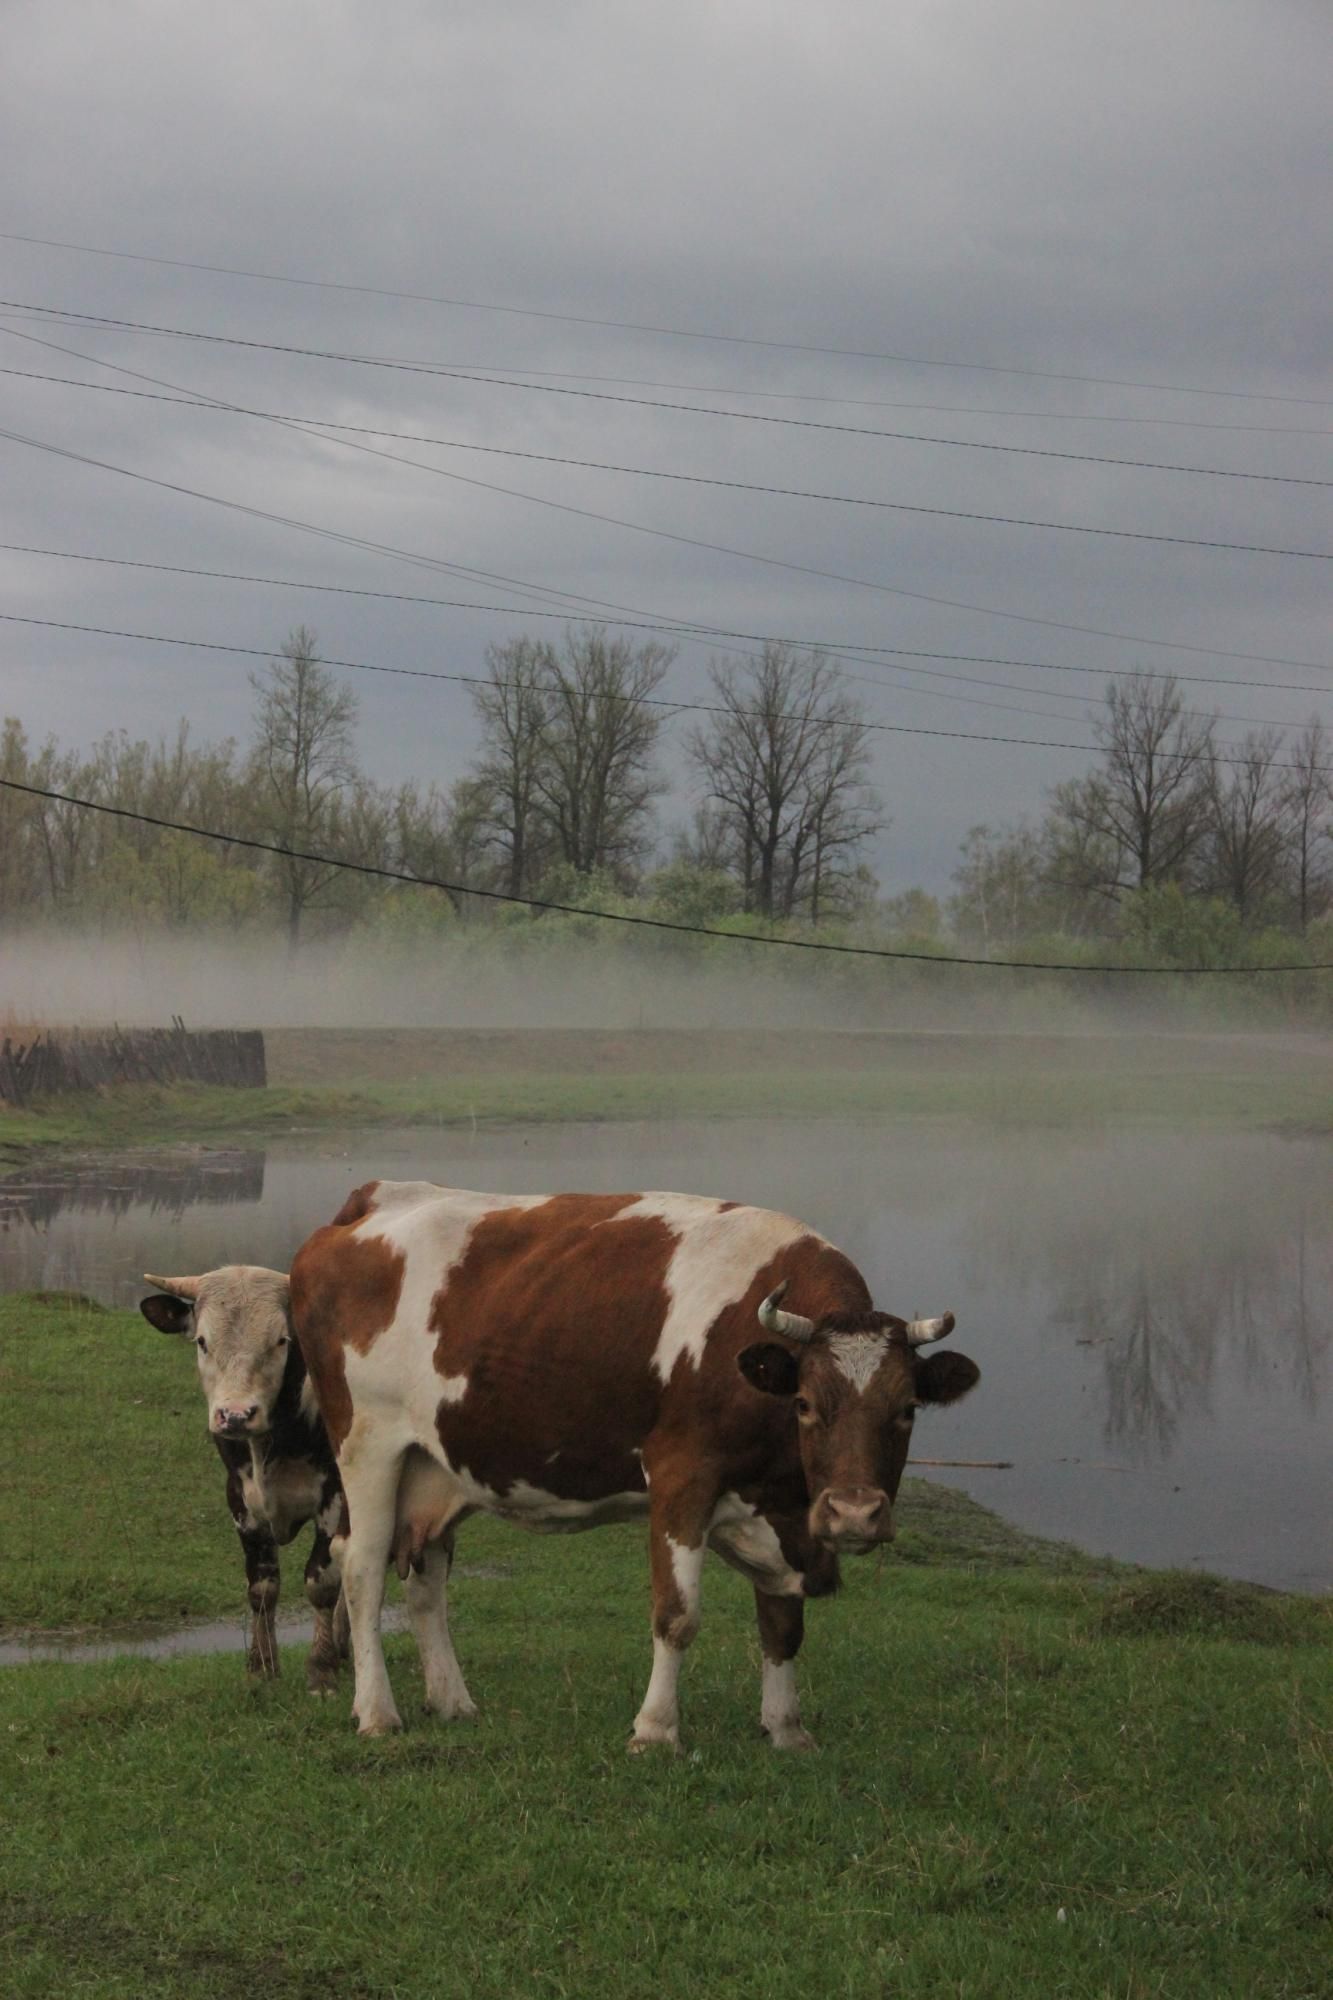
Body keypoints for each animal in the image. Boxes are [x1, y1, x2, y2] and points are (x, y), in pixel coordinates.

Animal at [139, 1264, 344, 1688]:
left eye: (282, 1340)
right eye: (202, 1340)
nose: (235, 1415)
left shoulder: (335, 1498)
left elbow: (321, 1583)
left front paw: (322, 1669)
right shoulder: (241, 1501)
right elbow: (262, 1587)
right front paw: (261, 1667)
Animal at [290, 1184, 976, 1752]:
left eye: (907, 1409)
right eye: (805, 1403)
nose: (855, 1513)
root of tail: (369, 1202)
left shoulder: (784, 1510)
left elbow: (782, 1623)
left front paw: (786, 1730)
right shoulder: (681, 1475)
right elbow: (676, 1615)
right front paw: (655, 1731)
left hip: (436, 1466)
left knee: (427, 1579)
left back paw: (452, 1701)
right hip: (369, 1446)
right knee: (361, 1570)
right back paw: (378, 1712)